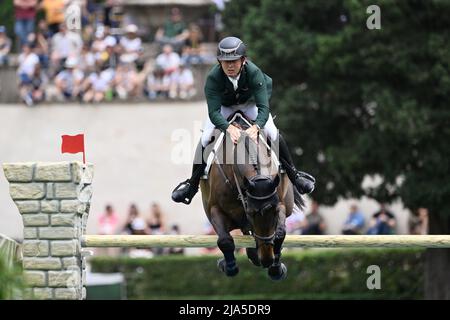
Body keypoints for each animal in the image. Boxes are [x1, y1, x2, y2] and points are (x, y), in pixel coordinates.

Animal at [200, 112, 302, 280]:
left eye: (274, 214)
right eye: (251, 213)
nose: (266, 259)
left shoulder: (279, 203)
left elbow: (280, 233)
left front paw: (276, 269)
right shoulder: (215, 209)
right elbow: (225, 240)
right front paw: (228, 266)